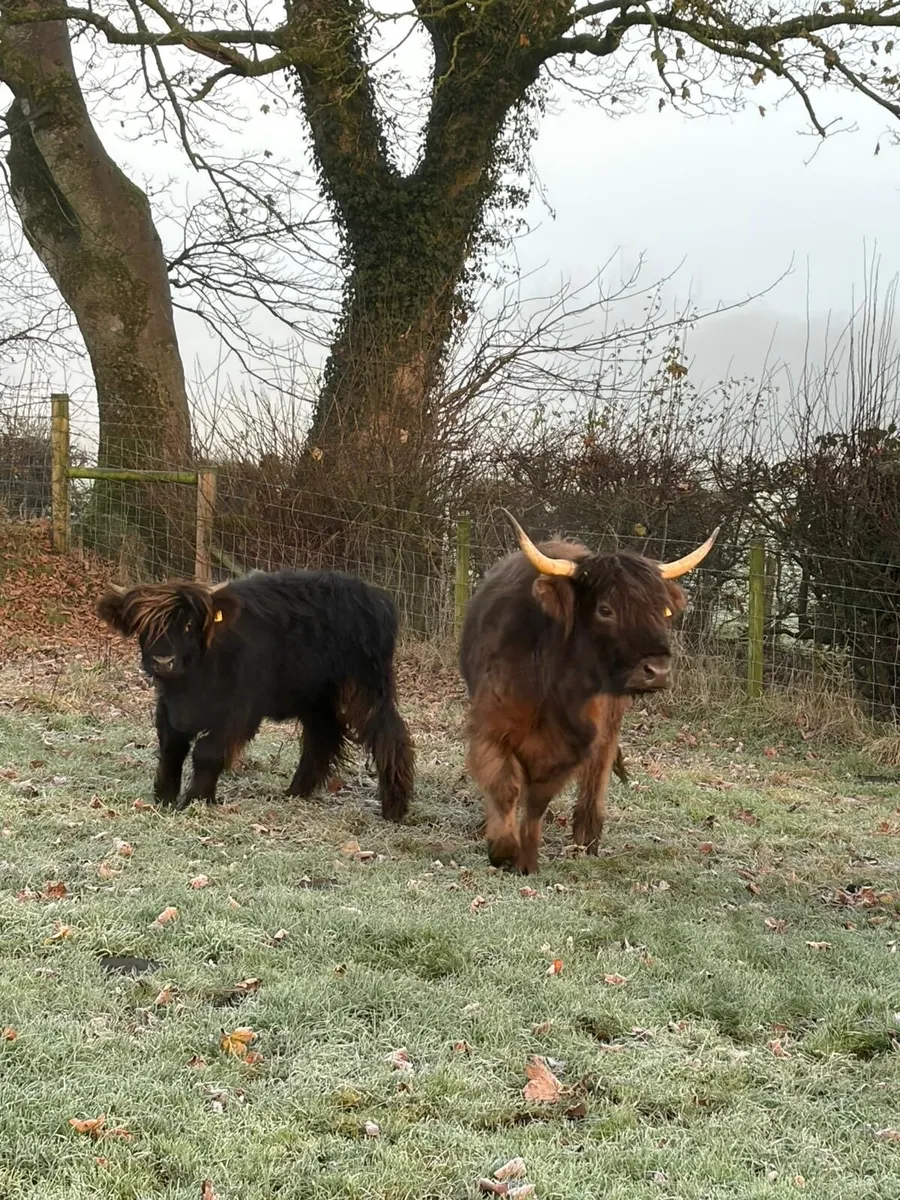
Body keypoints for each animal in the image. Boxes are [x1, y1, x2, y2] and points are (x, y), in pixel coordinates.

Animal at [96, 569, 414, 817]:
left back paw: (394, 808)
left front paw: (196, 800)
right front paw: (164, 797)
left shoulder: (239, 710)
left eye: (188, 625)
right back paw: (296, 791)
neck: (194, 681)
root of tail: (378, 598)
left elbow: (206, 752)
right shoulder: (169, 707)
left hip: (364, 687)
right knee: (322, 737)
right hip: (316, 696)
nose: (163, 661)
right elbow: (171, 749)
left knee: (390, 734)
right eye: (144, 627)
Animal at [459, 511, 717, 874]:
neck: (553, 685)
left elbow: (537, 802)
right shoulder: (491, 727)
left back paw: (587, 839)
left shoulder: (574, 746)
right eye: (605, 609)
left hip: (609, 727)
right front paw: (503, 848)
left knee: (597, 775)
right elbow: (505, 785)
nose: (658, 671)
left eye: (661, 610)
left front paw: (527, 858)